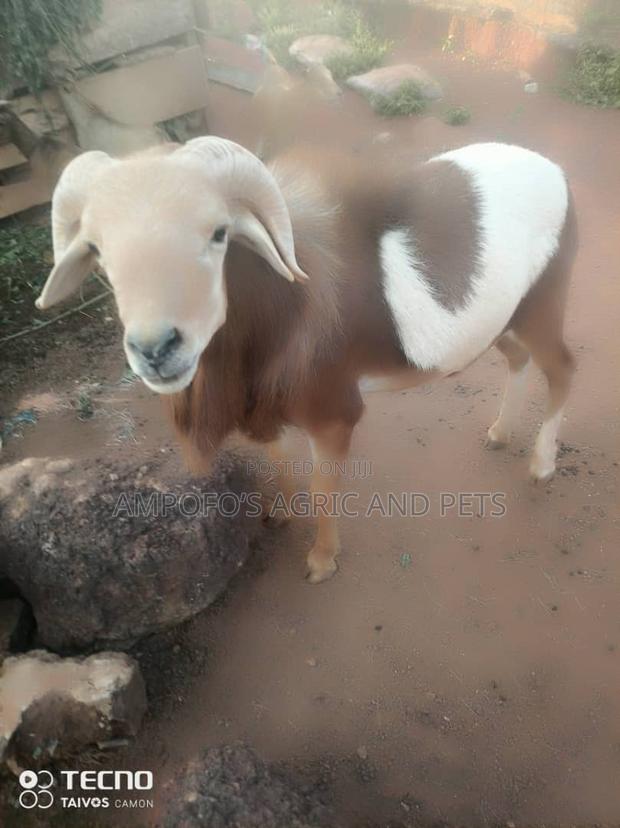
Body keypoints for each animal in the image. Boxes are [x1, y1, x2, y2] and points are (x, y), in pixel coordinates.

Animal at [36, 138, 576, 583]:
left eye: (219, 233)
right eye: (97, 250)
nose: (156, 350)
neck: (289, 302)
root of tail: (556, 173)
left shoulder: (333, 417)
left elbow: (322, 488)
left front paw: (321, 561)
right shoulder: (269, 409)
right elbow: (277, 456)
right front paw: (280, 514)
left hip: (541, 310)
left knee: (563, 370)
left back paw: (540, 465)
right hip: (504, 325)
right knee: (518, 360)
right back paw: (500, 433)